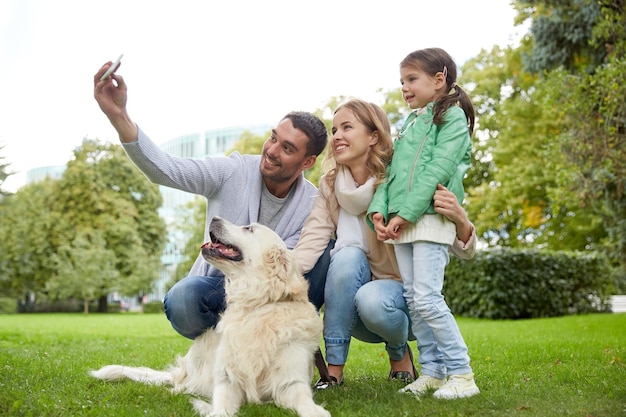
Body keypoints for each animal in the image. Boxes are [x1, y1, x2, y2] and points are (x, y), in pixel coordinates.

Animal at [91, 216, 332, 414]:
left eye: (249, 228)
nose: (215, 218)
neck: (257, 306)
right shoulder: (226, 379)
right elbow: (221, 406)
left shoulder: (291, 381)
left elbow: (306, 403)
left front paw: (317, 412)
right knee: (182, 383)